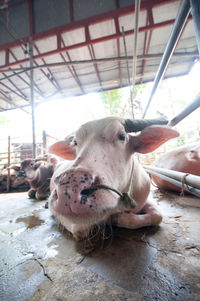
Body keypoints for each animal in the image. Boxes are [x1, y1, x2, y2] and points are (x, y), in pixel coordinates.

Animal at [48, 115, 178, 239]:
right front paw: (114, 218)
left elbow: (157, 216)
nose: (69, 191)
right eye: (75, 142)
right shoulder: (74, 223)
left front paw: (117, 217)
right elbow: (82, 229)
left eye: (122, 136)